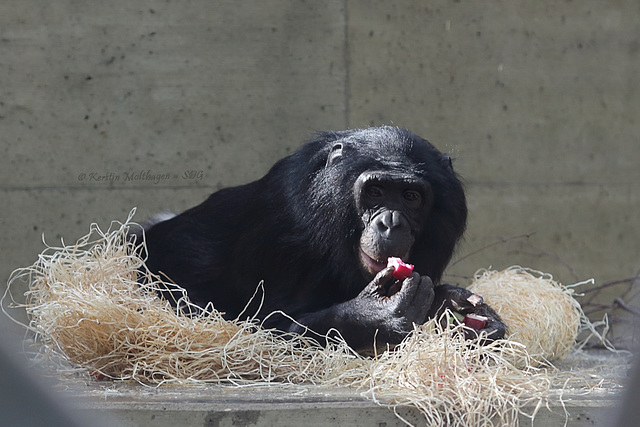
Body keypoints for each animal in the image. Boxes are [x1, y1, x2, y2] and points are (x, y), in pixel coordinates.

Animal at [140, 126, 504, 352]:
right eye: (375, 191)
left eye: (411, 196)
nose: (391, 222)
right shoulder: (282, 227)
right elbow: (270, 329)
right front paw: (374, 314)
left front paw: (461, 309)